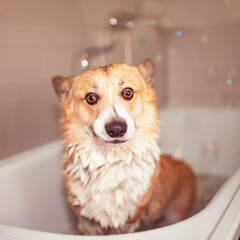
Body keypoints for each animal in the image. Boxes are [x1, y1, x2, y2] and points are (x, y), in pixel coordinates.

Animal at [51, 59, 196, 235]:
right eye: (91, 97)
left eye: (128, 93)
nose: (116, 129)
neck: (111, 161)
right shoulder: (87, 222)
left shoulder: (127, 221)